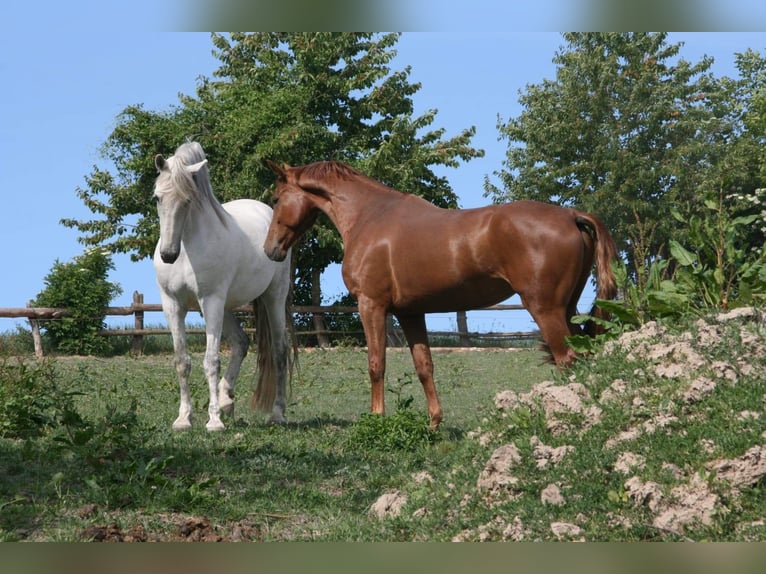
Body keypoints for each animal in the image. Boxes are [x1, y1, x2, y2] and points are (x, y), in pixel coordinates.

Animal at [153, 143, 294, 432]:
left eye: (188, 200)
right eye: (157, 198)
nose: (168, 254)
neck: (187, 248)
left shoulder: (211, 301)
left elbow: (211, 361)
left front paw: (214, 420)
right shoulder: (172, 305)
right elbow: (182, 361)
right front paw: (184, 418)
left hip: (271, 297)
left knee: (279, 350)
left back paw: (277, 413)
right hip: (225, 307)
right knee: (241, 342)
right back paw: (227, 398)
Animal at [264, 160, 616, 430]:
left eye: (278, 199)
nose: (270, 249)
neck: (370, 217)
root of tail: (570, 215)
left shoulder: (371, 305)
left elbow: (376, 364)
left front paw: (376, 419)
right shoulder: (410, 313)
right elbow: (424, 366)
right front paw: (433, 423)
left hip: (545, 309)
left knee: (568, 359)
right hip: (567, 309)